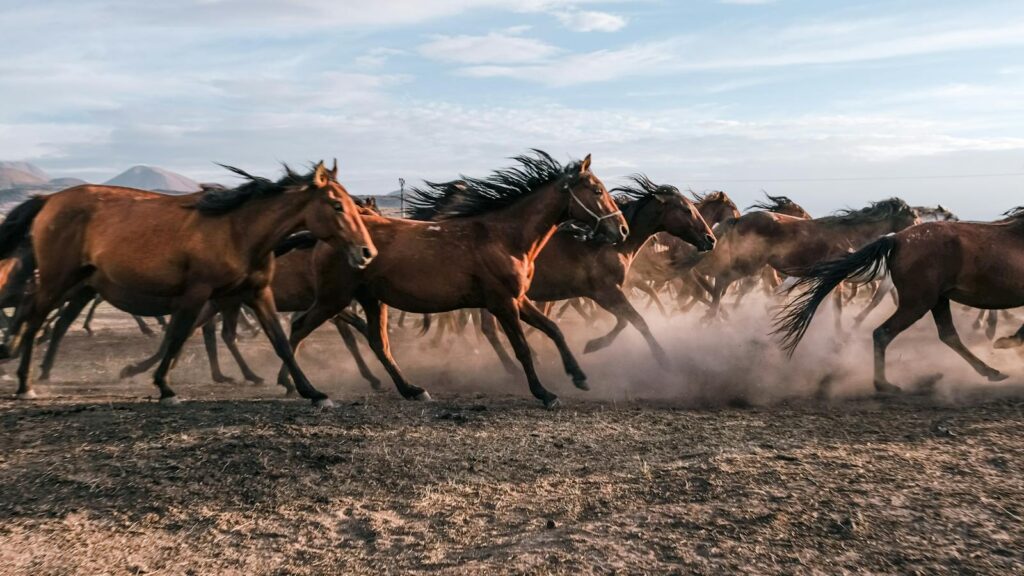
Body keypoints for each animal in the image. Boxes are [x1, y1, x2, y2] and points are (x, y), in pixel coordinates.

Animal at [0, 161, 375, 405]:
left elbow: (281, 341)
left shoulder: (255, 294)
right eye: (337, 205)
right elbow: (179, 334)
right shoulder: (199, 292)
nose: (367, 252)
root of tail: (48, 200)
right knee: (36, 317)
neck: (239, 230)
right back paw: (26, 380)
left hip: (79, 283)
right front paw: (164, 387)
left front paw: (312, 392)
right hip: (59, 278)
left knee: (40, 316)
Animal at [279, 150, 629, 408]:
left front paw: (579, 375)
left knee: (378, 343)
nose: (622, 229)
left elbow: (554, 330)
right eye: (597, 190)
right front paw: (545, 394)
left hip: (371, 299)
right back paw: (306, 390)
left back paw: (412, 390)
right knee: (298, 329)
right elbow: (522, 349)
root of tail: (324, 237)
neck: (505, 237)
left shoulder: (518, 298)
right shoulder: (503, 303)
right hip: (334, 297)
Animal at [775, 208, 1024, 394]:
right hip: (918, 302)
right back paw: (884, 384)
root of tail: (896, 238)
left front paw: (1004, 339)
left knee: (948, 334)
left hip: (936, 299)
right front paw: (1006, 340)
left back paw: (991, 371)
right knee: (883, 333)